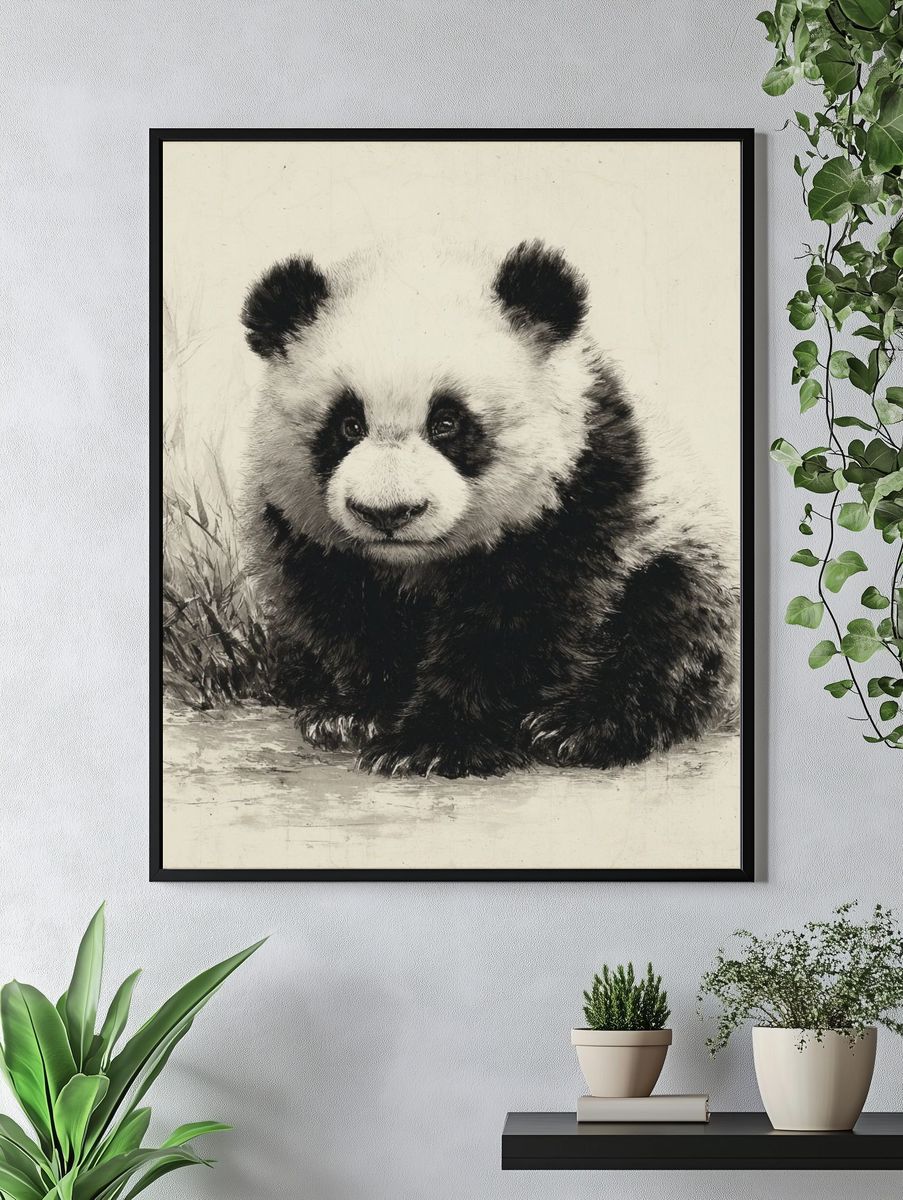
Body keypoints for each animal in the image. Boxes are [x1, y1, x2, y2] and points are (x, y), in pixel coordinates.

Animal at [240, 239, 739, 779]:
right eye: (347, 425)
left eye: (448, 422)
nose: (388, 513)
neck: (415, 562)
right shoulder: (306, 529)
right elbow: (347, 611)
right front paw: (357, 714)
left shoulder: (579, 494)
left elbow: (512, 623)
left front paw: (434, 742)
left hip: (681, 552)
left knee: (667, 633)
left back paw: (582, 727)